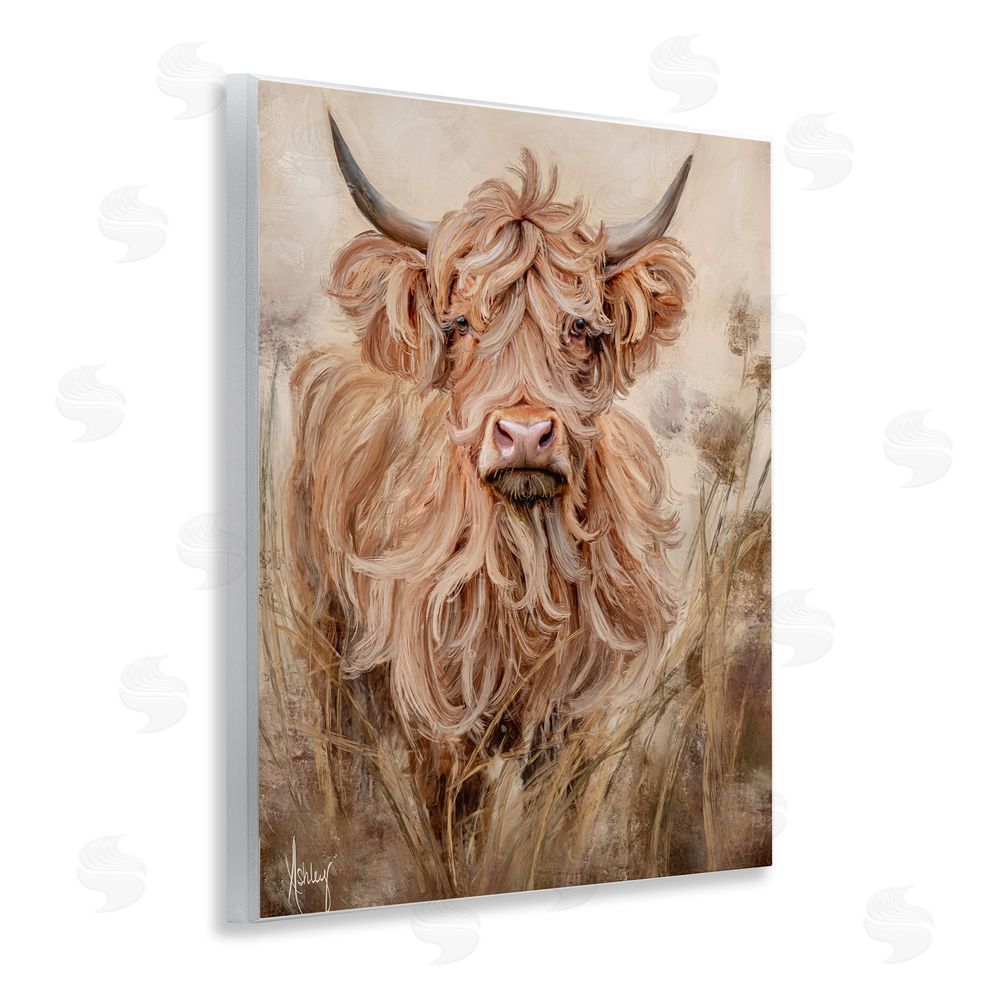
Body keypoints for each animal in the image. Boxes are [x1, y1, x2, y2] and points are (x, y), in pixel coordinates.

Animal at [287, 113, 695, 811]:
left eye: (580, 327)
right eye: (457, 325)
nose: (526, 435)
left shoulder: (570, 720)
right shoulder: (440, 724)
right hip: (322, 628)